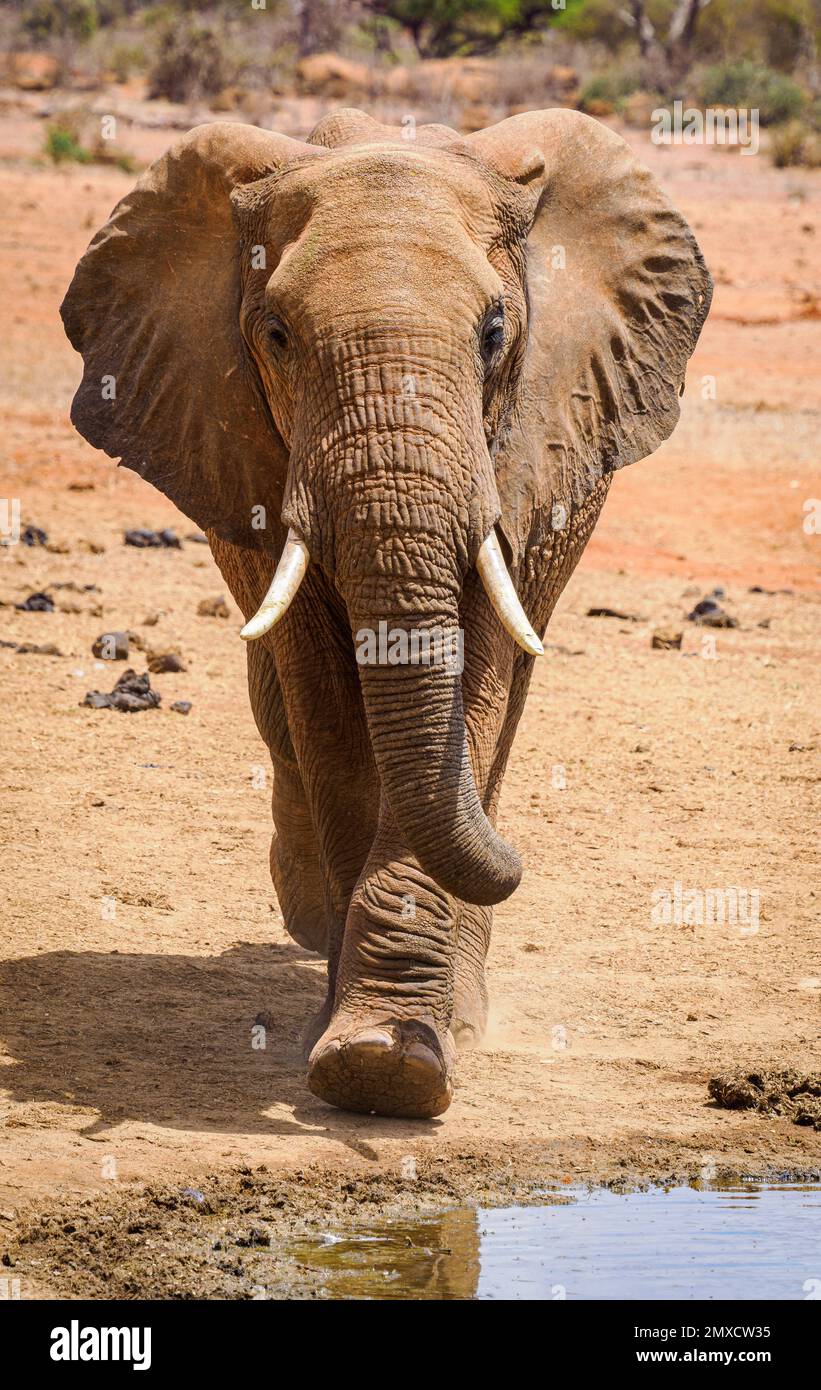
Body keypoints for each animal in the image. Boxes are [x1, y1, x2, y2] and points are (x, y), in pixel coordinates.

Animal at [61, 106, 711, 1120]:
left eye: (494, 332)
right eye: (277, 334)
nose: (517, 863)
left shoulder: (521, 453)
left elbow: (473, 687)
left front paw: (392, 1065)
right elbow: (325, 705)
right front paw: (360, 1052)